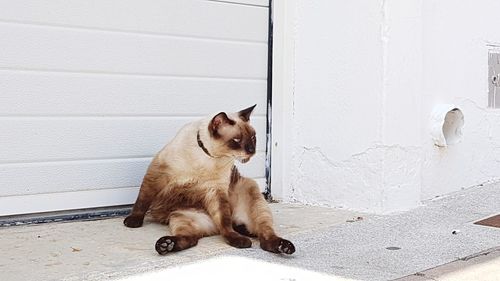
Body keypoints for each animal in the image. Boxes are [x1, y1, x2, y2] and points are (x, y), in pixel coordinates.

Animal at [125, 104, 294, 254]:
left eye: (253, 137)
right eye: (237, 140)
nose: (252, 150)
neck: (210, 158)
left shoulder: (216, 191)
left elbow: (224, 218)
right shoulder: (157, 175)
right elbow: (142, 201)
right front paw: (133, 222)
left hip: (252, 196)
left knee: (257, 232)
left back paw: (271, 245)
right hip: (182, 216)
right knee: (191, 239)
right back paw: (166, 245)